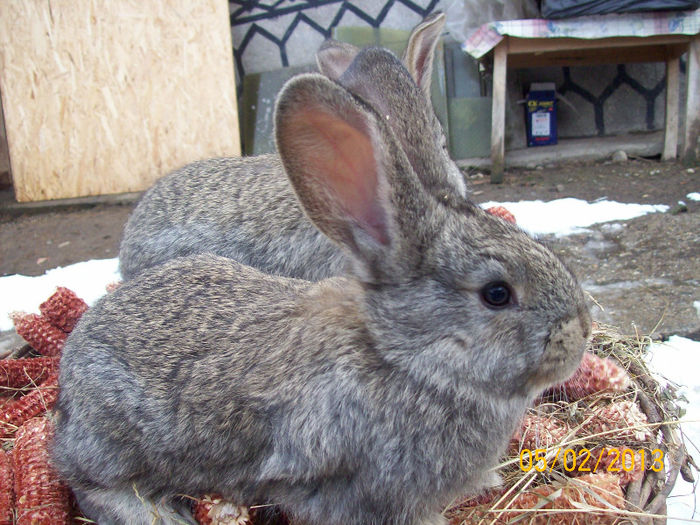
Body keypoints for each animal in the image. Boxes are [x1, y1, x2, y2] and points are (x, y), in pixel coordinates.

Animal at [53, 42, 592, 524]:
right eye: (496, 294)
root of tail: (71, 362)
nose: (581, 330)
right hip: (114, 445)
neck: (403, 359)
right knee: (90, 483)